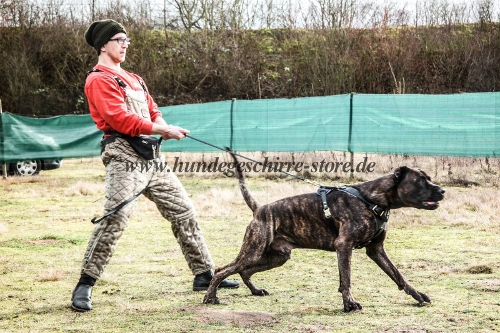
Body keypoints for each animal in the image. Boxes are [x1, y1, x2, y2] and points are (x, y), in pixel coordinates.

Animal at [203, 154, 446, 312]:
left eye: (428, 178)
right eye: (420, 181)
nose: (442, 190)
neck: (371, 200)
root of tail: (260, 209)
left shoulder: (376, 250)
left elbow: (398, 275)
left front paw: (417, 295)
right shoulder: (344, 246)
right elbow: (347, 278)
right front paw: (349, 303)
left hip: (276, 256)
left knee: (244, 271)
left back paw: (254, 290)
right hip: (254, 250)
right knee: (223, 270)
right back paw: (210, 296)